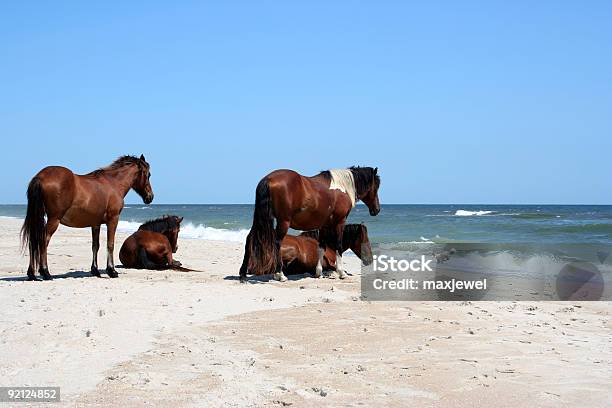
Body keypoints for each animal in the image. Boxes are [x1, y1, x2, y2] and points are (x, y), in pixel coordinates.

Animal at [21, 155, 155, 278]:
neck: (113, 184)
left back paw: (31, 274)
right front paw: (111, 271)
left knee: (35, 240)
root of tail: (40, 176)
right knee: (43, 240)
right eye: (148, 174)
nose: (150, 197)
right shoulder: (113, 219)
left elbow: (95, 246)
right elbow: (110, 244)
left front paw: (95, 270)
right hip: (54, 220)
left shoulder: (95, 224)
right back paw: (45, 272)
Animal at [238, 167, 378, 282]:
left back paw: (243, 273)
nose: (376, 209)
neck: (341, 188)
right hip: (283, 222)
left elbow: (321, 246)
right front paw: (341, 273)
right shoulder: (340, 222)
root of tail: (268, 179)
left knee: (250, 238)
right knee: (276, 242)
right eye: (376, 186)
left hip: (261, 218)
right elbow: (338, 244)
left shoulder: (324, 225)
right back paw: (280, 274)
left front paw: (318, 273)